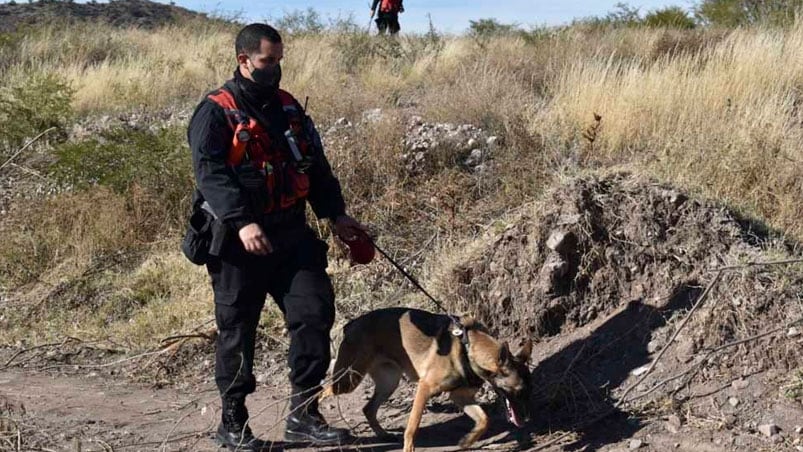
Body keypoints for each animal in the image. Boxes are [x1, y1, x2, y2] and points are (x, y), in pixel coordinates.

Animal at [320, 308, 532, 452]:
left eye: (528, 391)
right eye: (519, 391)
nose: (525, 420)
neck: (468, 348)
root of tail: (351, 324)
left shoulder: (460, 397)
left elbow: (484, 420)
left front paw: (468, 440)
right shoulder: (425, 389)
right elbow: (412, 427)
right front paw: (409, 448)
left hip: (388, 383)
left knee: (368, 408)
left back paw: (383, 434)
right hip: (348, 380)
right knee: (322, 391)